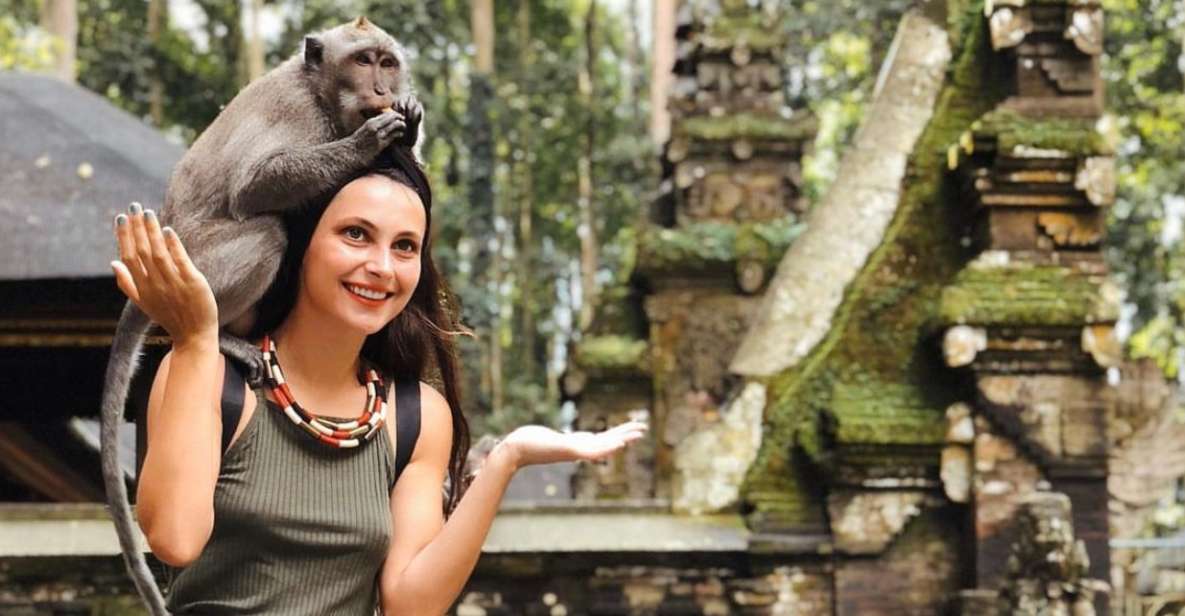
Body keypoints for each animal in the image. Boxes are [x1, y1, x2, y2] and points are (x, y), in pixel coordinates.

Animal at [99, 17, 422, 615]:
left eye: (387, 62)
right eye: (363, 60)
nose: (381, 88)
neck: (322, 94)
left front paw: (408, 128)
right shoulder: (298, 114)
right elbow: (255, 184)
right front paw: (367, 142)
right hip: (200, 264)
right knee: (269, 228)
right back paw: (222, 337)